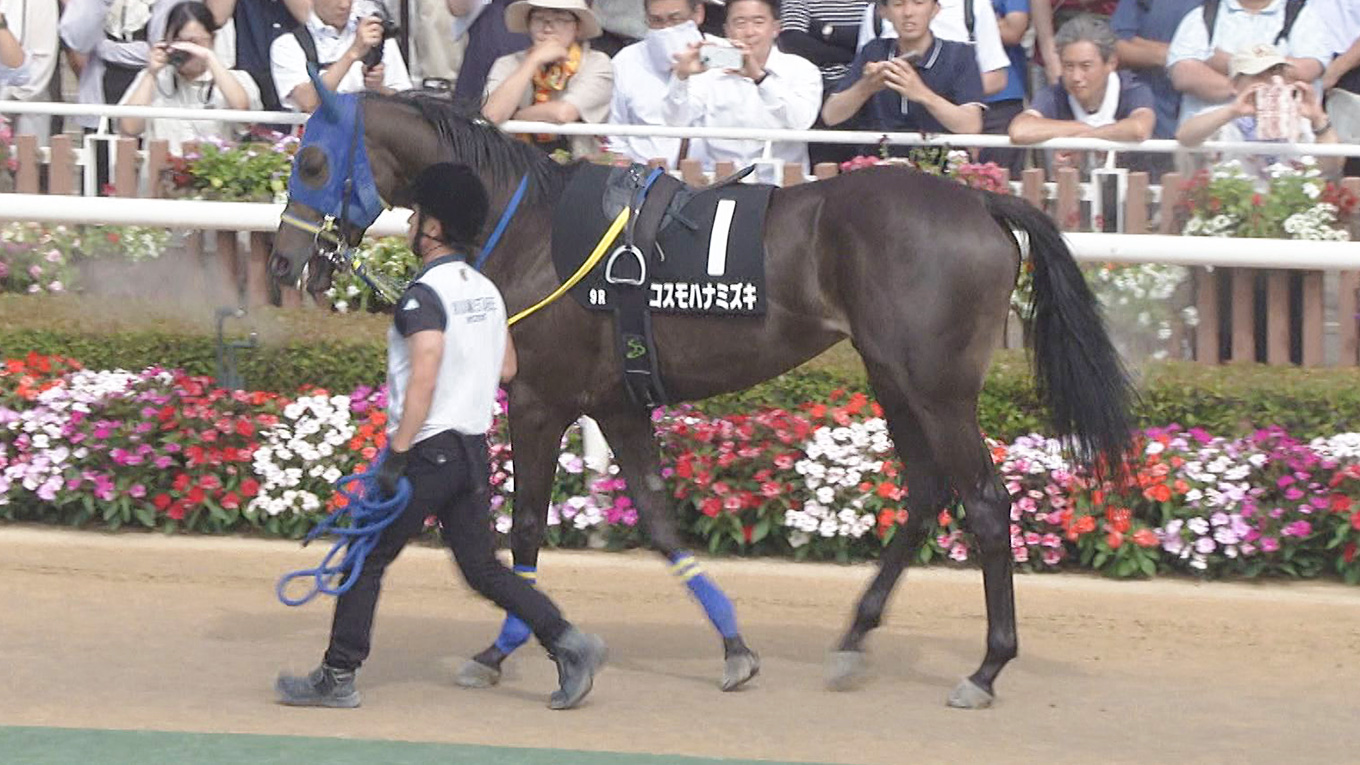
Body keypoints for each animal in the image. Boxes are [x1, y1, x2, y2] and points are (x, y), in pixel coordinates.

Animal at [269, 81, 1134, 708]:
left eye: (310, 162)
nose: (284, 261)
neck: (529, 228)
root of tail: (980, 201)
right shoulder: (617, 402)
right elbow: (657, 520)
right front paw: (734, 649)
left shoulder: (543, 399)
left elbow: (522, 534)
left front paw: (504, 650)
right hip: (894, 376)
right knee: (926, 491)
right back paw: (854, 639)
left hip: (937, 385)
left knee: (984, 501)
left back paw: (986, 668)